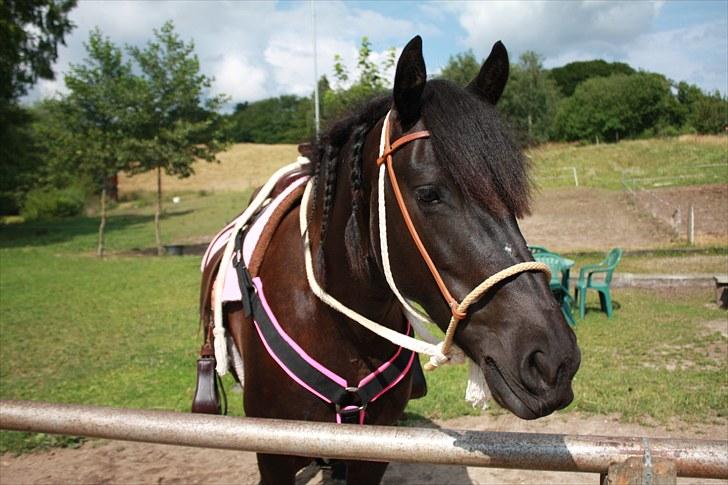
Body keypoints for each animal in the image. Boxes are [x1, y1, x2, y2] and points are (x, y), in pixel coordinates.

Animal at [195, 36, 580, 482]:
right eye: (429, 193)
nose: (553, 360)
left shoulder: (374, 448)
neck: (341, 328)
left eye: (508, 195)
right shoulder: (271, 453)